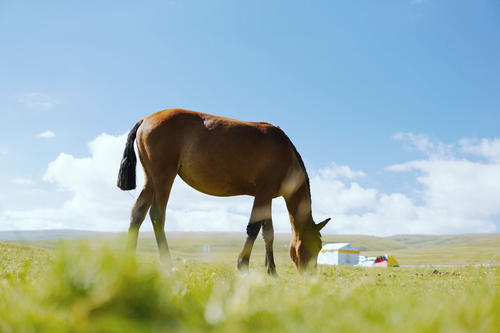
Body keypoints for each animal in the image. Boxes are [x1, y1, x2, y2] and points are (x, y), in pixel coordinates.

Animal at [116, 109, 328, 272]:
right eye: (317, 246)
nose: (311, 275)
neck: (285, 152)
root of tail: (145, 120)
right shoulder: (263, 193)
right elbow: (254, 228)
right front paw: (243, 264)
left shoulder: (266, 196)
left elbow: (268, 233)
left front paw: (272, 270)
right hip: (164, 177)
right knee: (157, 215)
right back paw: (168, 264)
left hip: (150, 181)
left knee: (137, 214)